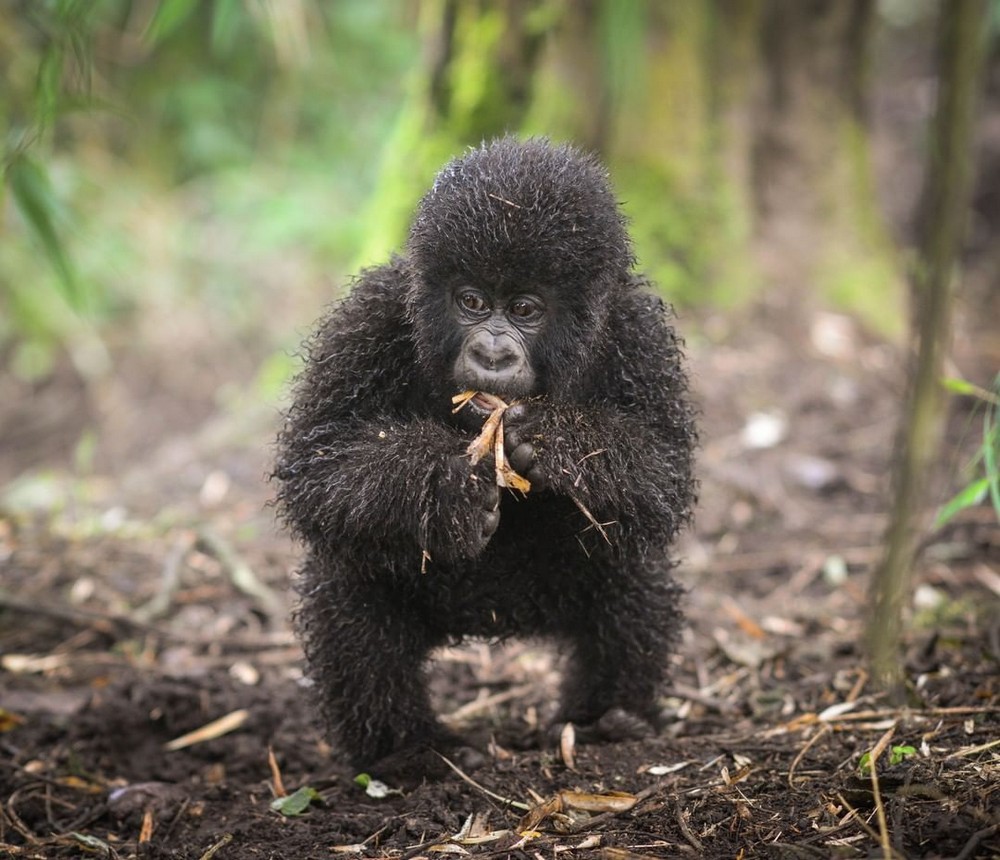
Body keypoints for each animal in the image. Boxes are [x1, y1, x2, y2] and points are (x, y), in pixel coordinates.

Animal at [274, 138, 696, 784]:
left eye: (524, 310)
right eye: (471, 302)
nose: (493, 353)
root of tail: (496, 626)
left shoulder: (638, 332)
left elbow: (664, 471)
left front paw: (558, 439)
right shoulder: (369, 317)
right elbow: (317, 464)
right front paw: (445, 489)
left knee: (634, 569)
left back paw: (606, 722)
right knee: (348, 579)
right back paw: (408, 749)